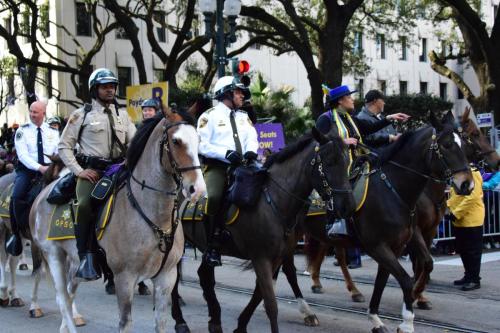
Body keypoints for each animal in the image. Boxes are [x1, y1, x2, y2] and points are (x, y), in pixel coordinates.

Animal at [29, 109, 206, 332]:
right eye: (176, 141)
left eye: (198, 139)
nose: (197, 189)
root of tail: (42, 195)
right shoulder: (124, 277)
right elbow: (125, 322)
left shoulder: (167, 276)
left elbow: (161, 322)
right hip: (53, 255)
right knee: (62, 297)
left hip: (75, 260)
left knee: (69, 293)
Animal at [172, 128, 356, 332]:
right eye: (330, 162)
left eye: (347, 162)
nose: (348, 207)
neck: (273, 201)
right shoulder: (261, 258)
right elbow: (271, 304)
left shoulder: (275, 258)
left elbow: (259, 293)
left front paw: (241, 325)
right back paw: (180, 320)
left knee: (204, 276)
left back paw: (214, 320)